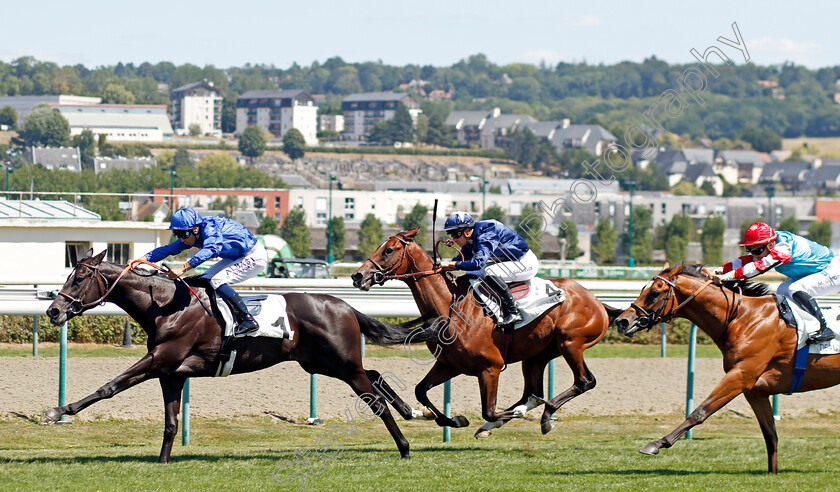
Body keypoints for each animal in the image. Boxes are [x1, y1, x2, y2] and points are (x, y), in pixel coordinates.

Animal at [43, 250, 434, 462]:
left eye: (79, 278)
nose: (53, 311)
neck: (166, 306)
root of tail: (346, 306)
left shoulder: (160, 359)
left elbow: (110, 386)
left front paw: (58, 411)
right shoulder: (172, 372)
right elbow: (170, 423)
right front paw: (163, 462)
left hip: (341, 363)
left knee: (373, 397)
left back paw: (405, 446)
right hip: (322, 362)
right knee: (376, 375)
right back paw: (412, 411)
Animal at [348, 229, 616, 436]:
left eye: (389, 250)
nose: (358, 275)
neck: (451, 306)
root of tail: (596, 301)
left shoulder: (491, 367)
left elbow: (489, 410)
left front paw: (506, 416)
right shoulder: (449, 365)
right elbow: (420, 391)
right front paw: (453, 420)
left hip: (570, 343)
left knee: (584, 381)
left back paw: (544, 414)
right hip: (537, 354)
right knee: (532, 392)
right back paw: (521, 414)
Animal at [612, 264, 840, 474]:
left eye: (654, 292)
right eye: (644, 288)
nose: (622, 321)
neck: (745, 318)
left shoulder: (741, 375)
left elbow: (699, 412)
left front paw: (657, 444)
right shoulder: (755, 390)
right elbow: (770, 434)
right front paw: (773, 473)